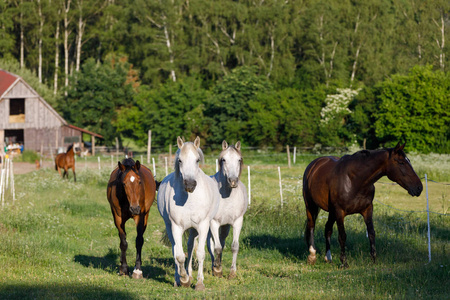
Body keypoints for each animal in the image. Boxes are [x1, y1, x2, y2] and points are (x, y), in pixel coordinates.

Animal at [157, 137, 221, 290]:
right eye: (180, 160)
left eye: (197, 160)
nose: (190, 185)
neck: (189, 200)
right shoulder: (176, 227)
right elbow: (179, 255)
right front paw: (184, 280)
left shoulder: (203, 226)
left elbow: (200, 253)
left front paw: (199, 283)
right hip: (171, 227)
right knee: (176, 249)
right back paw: (179, 279)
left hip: (194, 229)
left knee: (191, 246)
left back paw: (191, 275)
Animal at [187, 140, 250, 278]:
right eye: (224, 160)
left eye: (239, 160)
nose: (233, 181)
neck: (227, 196)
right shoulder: (214, 223)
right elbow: (217, 248)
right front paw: (218, 269)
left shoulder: (237, 222)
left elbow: (234, 246)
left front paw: (232, 272)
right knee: (195, 245)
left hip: (224, 227)